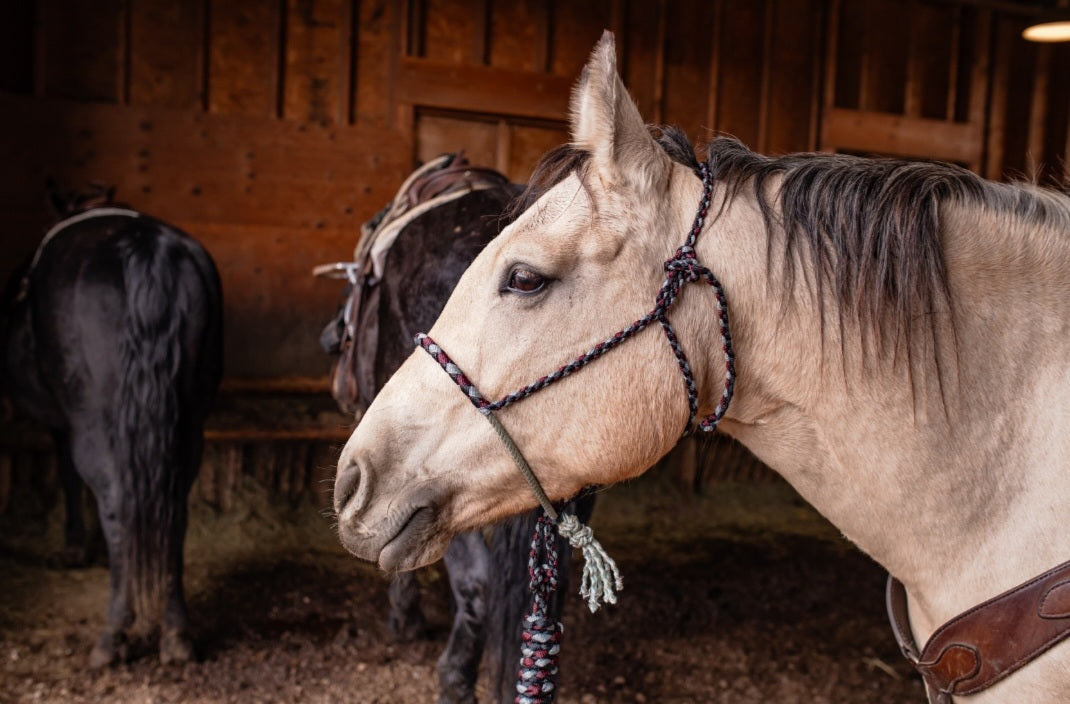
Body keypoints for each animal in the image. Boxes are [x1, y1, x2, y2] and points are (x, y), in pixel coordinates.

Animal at [1, 184, 223, 667]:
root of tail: (144, 247)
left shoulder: (65, 424)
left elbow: (69, 478)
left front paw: (74, 545)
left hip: (94, 423)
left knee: (118, 505)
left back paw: (113, 635)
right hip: (189, 422)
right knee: (171, 511)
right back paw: (176, 633)